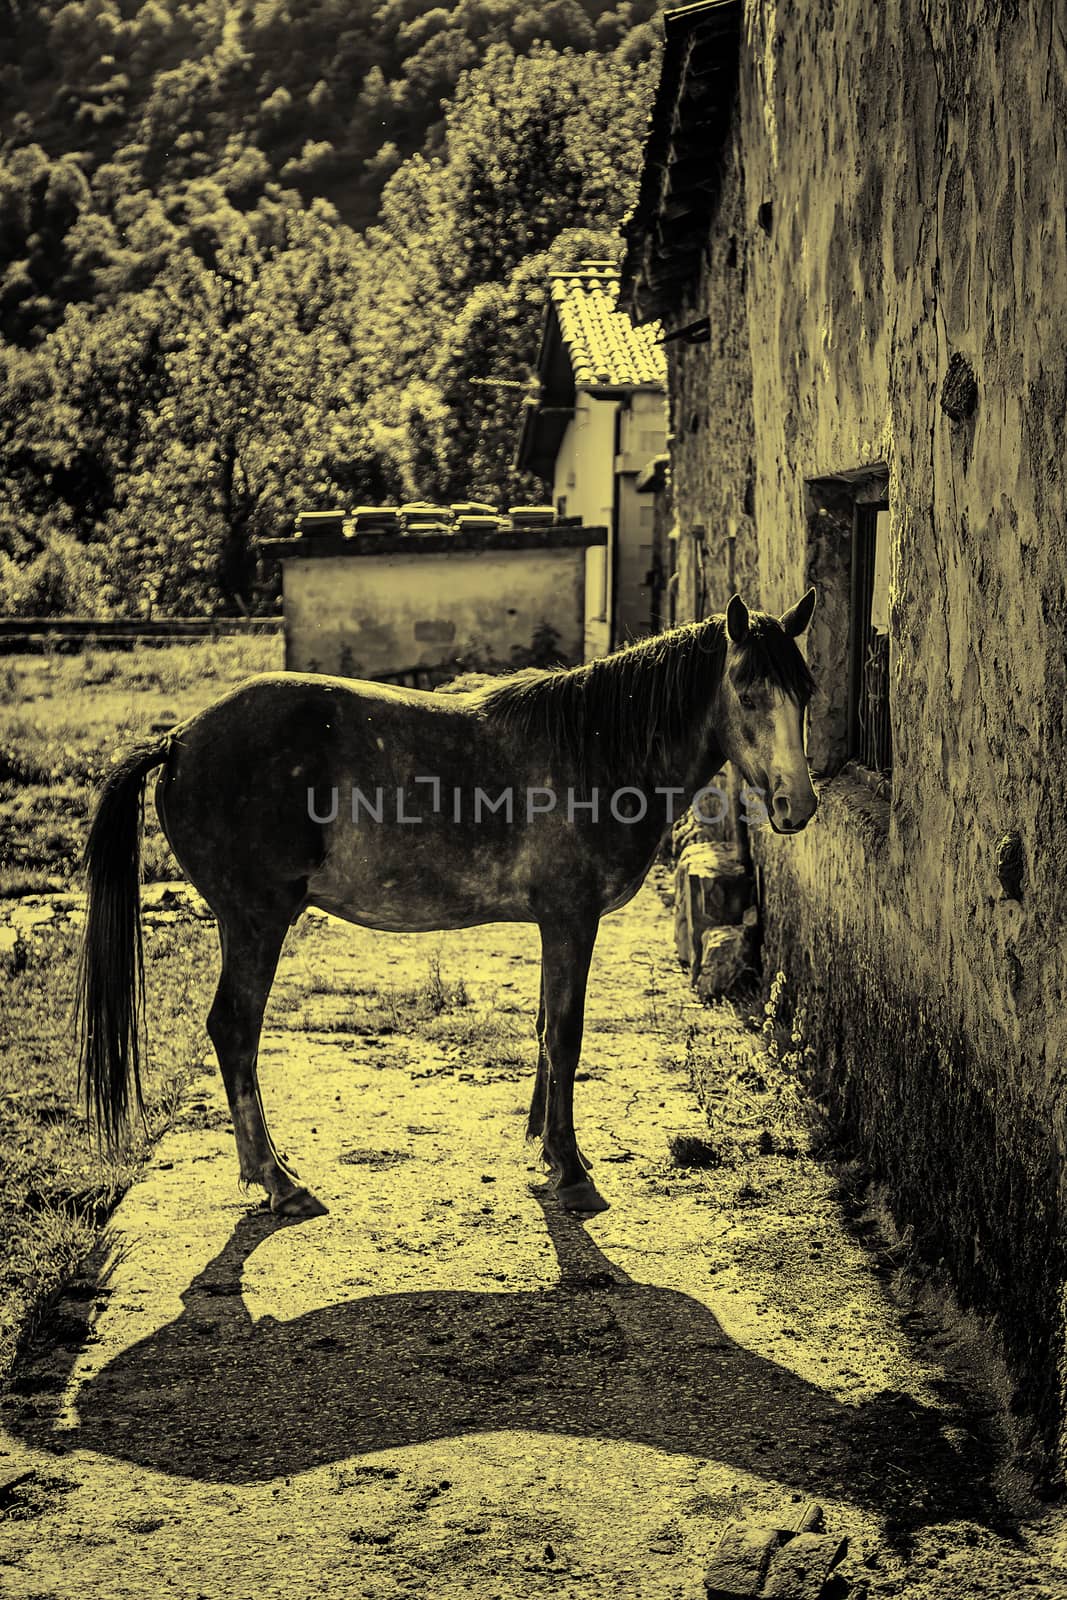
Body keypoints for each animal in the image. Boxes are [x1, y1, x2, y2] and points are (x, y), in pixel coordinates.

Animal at [77, 595, 819, 1216]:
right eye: (748, 693)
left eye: (805, 691)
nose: (798, 804)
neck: (595, 751)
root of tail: (178, 741)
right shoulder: (571, 921)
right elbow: (565, 1034)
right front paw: (571, 1169)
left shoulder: (554, 926)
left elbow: (545, 1028)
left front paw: (543, 1147)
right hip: (257, 920)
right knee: (234, 1029)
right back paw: (278, 1182)